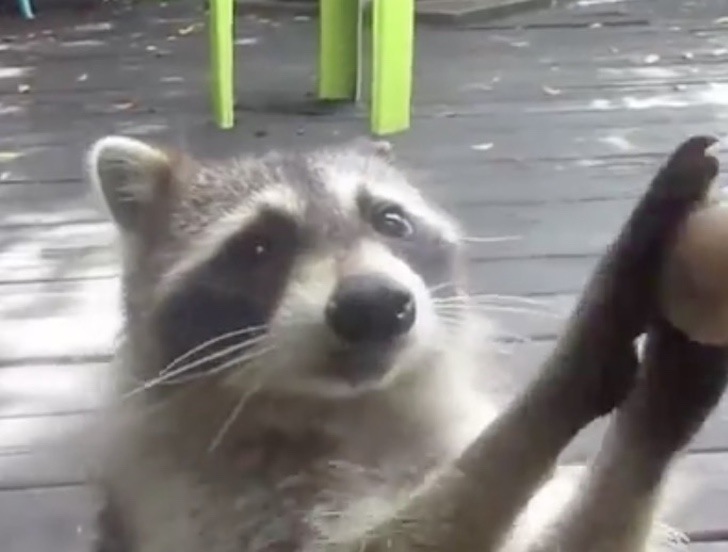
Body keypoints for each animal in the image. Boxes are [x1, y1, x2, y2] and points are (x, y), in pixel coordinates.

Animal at [86, 135, 728, 552]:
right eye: (260, 247)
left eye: (390, 222)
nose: (374, 305)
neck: (358, 412)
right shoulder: (191, 505)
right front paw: (560, 379)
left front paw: (651, 423)